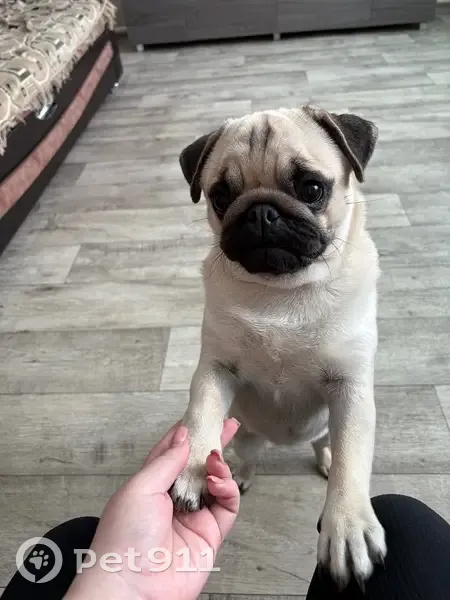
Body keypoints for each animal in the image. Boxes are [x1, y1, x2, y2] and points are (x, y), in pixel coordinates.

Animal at [170, 106, 387, 586]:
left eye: (311, 189)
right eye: (220, 196)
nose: (260, 212)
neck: (282, 293)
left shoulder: (350, 389)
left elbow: (352, 459)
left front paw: (347, 525)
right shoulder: (215, 370)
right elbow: (201, 415)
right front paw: (194, 468)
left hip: (323, 426)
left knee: (326, 447)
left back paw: (323, 460)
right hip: (246, 434)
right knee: (247, 455)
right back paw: (236, 474)